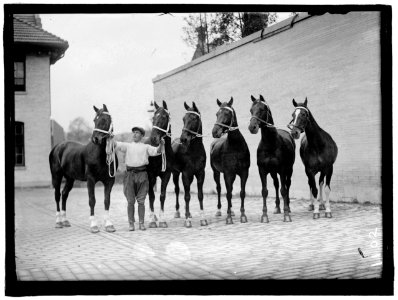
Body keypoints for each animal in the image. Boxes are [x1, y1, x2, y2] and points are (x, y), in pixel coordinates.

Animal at [47, 104, 117, 233]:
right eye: (95, 120)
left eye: (105, 120)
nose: (95, 139)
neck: (101, 155)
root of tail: (57, 147)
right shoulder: (91, 180)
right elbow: (92, 200)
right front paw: (93, 225)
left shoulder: (109, 181)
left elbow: (107, 201)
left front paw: (109, 225)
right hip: (56, 177)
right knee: (57, 196)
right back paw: (58, 222)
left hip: (70, 178)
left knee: (64, 194)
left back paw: (65, 221)